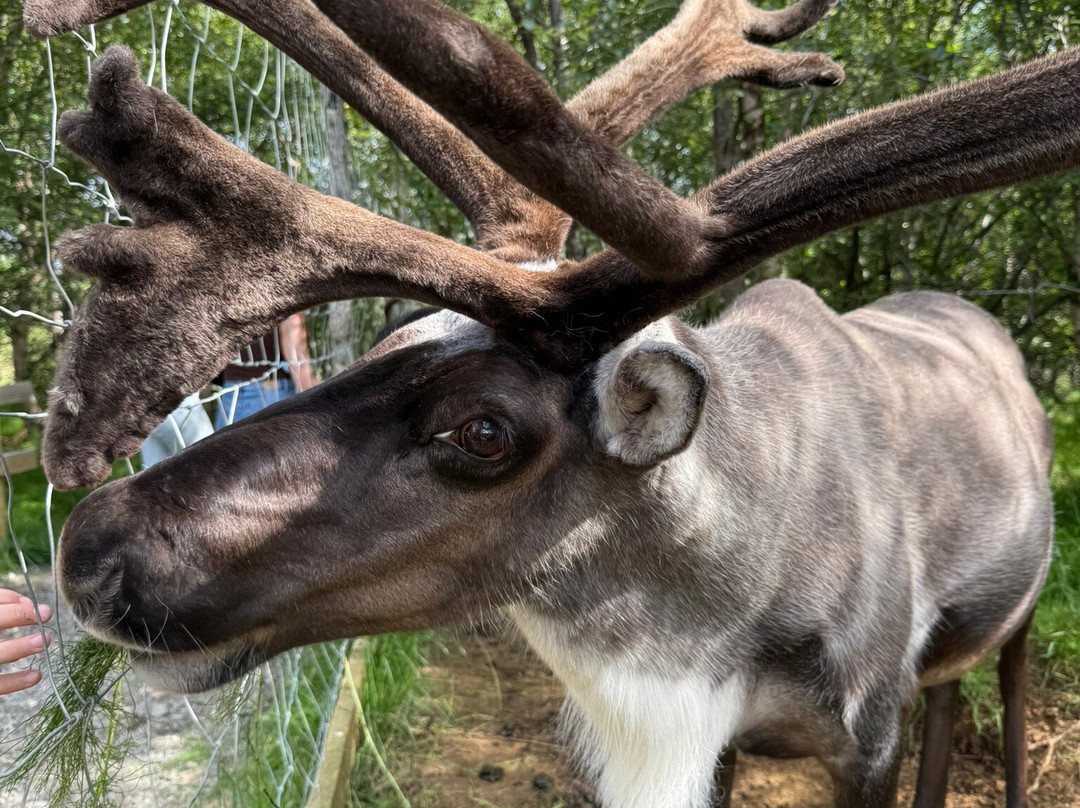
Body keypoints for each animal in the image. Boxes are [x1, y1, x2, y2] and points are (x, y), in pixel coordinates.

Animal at [20, 0, 1079, 805]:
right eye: (386, 342)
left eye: (483, 430)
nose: (90, 551)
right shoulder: (718, 743)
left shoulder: (866, 740)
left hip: (1018, 612)